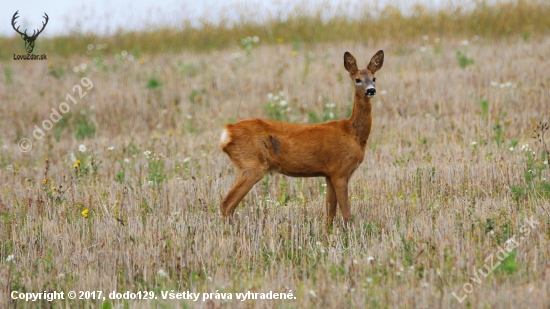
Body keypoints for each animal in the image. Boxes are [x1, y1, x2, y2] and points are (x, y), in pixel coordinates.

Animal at [220, 48, 384, 226]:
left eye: (374, 78)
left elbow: (330, 213)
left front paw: (328, 232)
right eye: (357, 80)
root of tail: (228, 131)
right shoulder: (340, 171)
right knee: (227, 203)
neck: (352, 134)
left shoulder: (329, 173)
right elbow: (346, 212)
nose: (371, 90)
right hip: (252, 163)